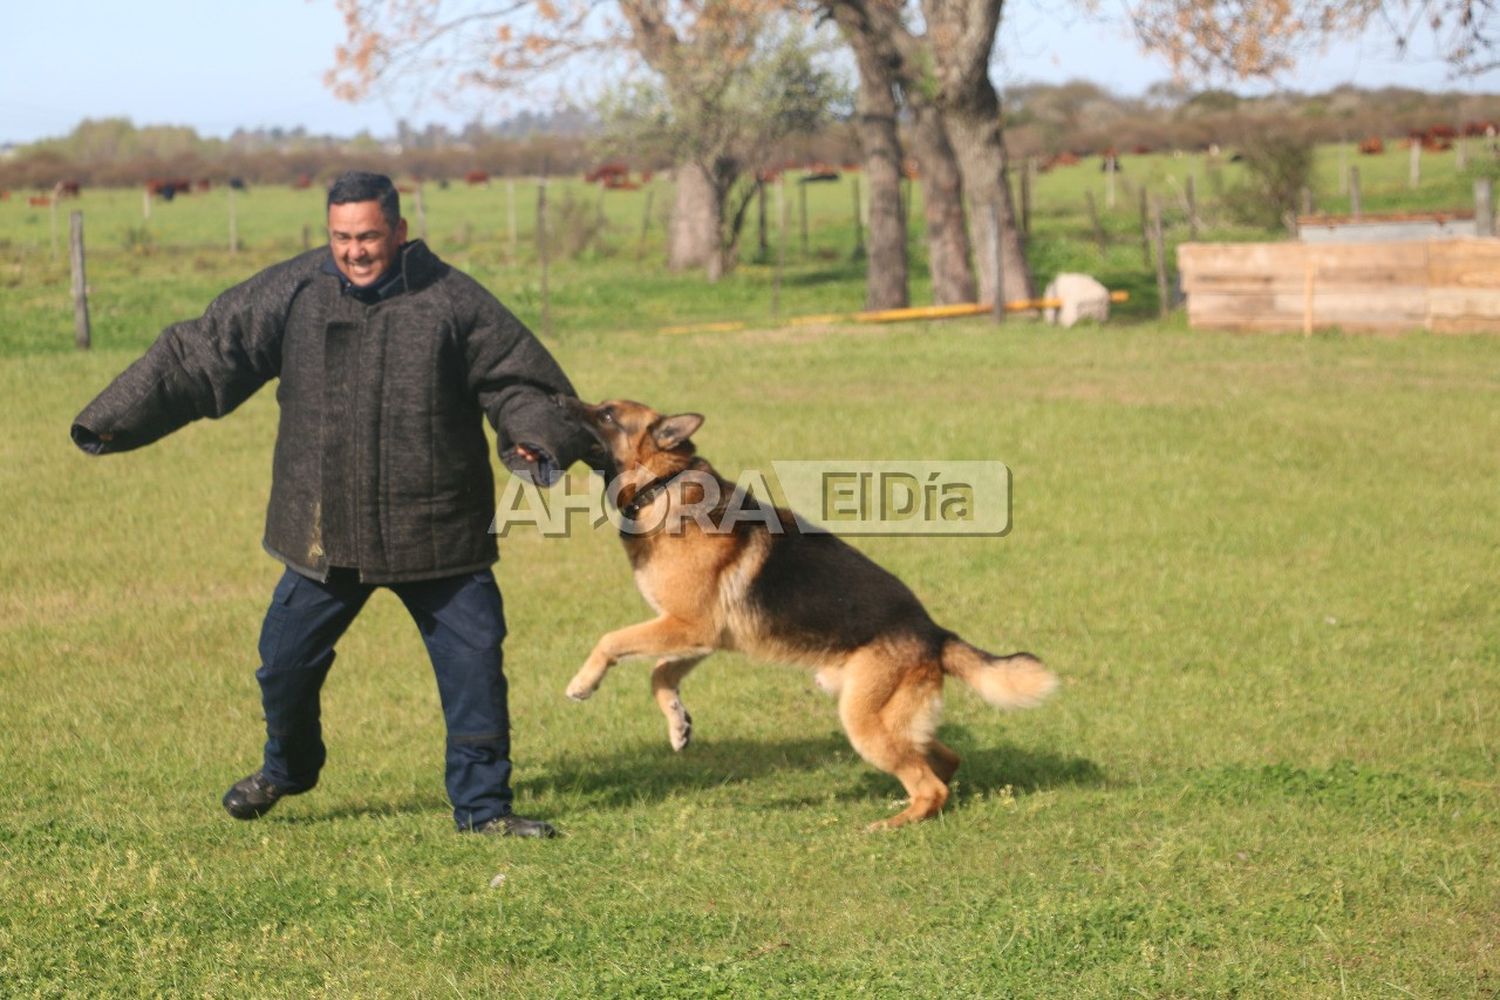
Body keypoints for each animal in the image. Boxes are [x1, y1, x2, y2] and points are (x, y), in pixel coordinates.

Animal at [561, 398, 1056, 827]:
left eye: (606, 414)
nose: (560, 400)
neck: (662, 483)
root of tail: (934, 632)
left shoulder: (687, 625)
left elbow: (611, 641)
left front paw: (583, 683)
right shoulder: (699, 634)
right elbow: (660, 674)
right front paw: (678, 725)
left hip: (863, 722)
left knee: (931, 784)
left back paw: (895, 822)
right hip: (881, 712)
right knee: (943, 762)